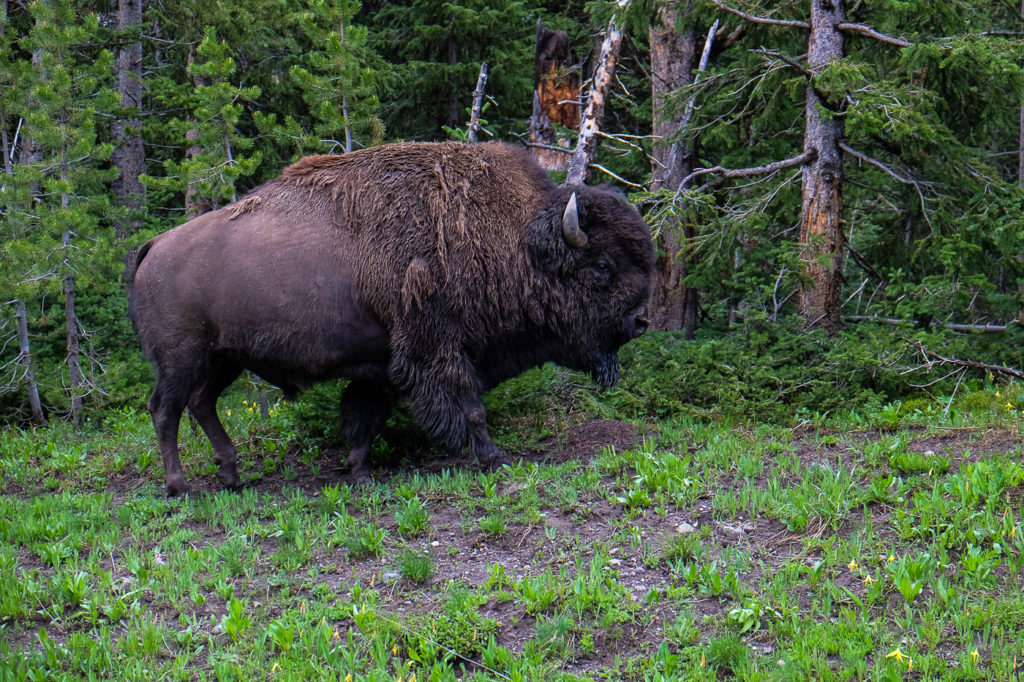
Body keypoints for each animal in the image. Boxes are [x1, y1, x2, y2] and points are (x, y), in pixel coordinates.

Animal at [130, 142, 655, 493]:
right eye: (602, 266)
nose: (640, 322)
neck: (514, 238)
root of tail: (154, 245)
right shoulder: (437, 348)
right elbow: (471, 405)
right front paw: (493, 457)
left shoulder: (384, 363)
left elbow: (365, 417)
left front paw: (360, 472)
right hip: (182, 358)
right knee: (166, 409)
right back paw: (180, 486)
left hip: (224, 358)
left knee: (202, 403)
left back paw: (232, 473)